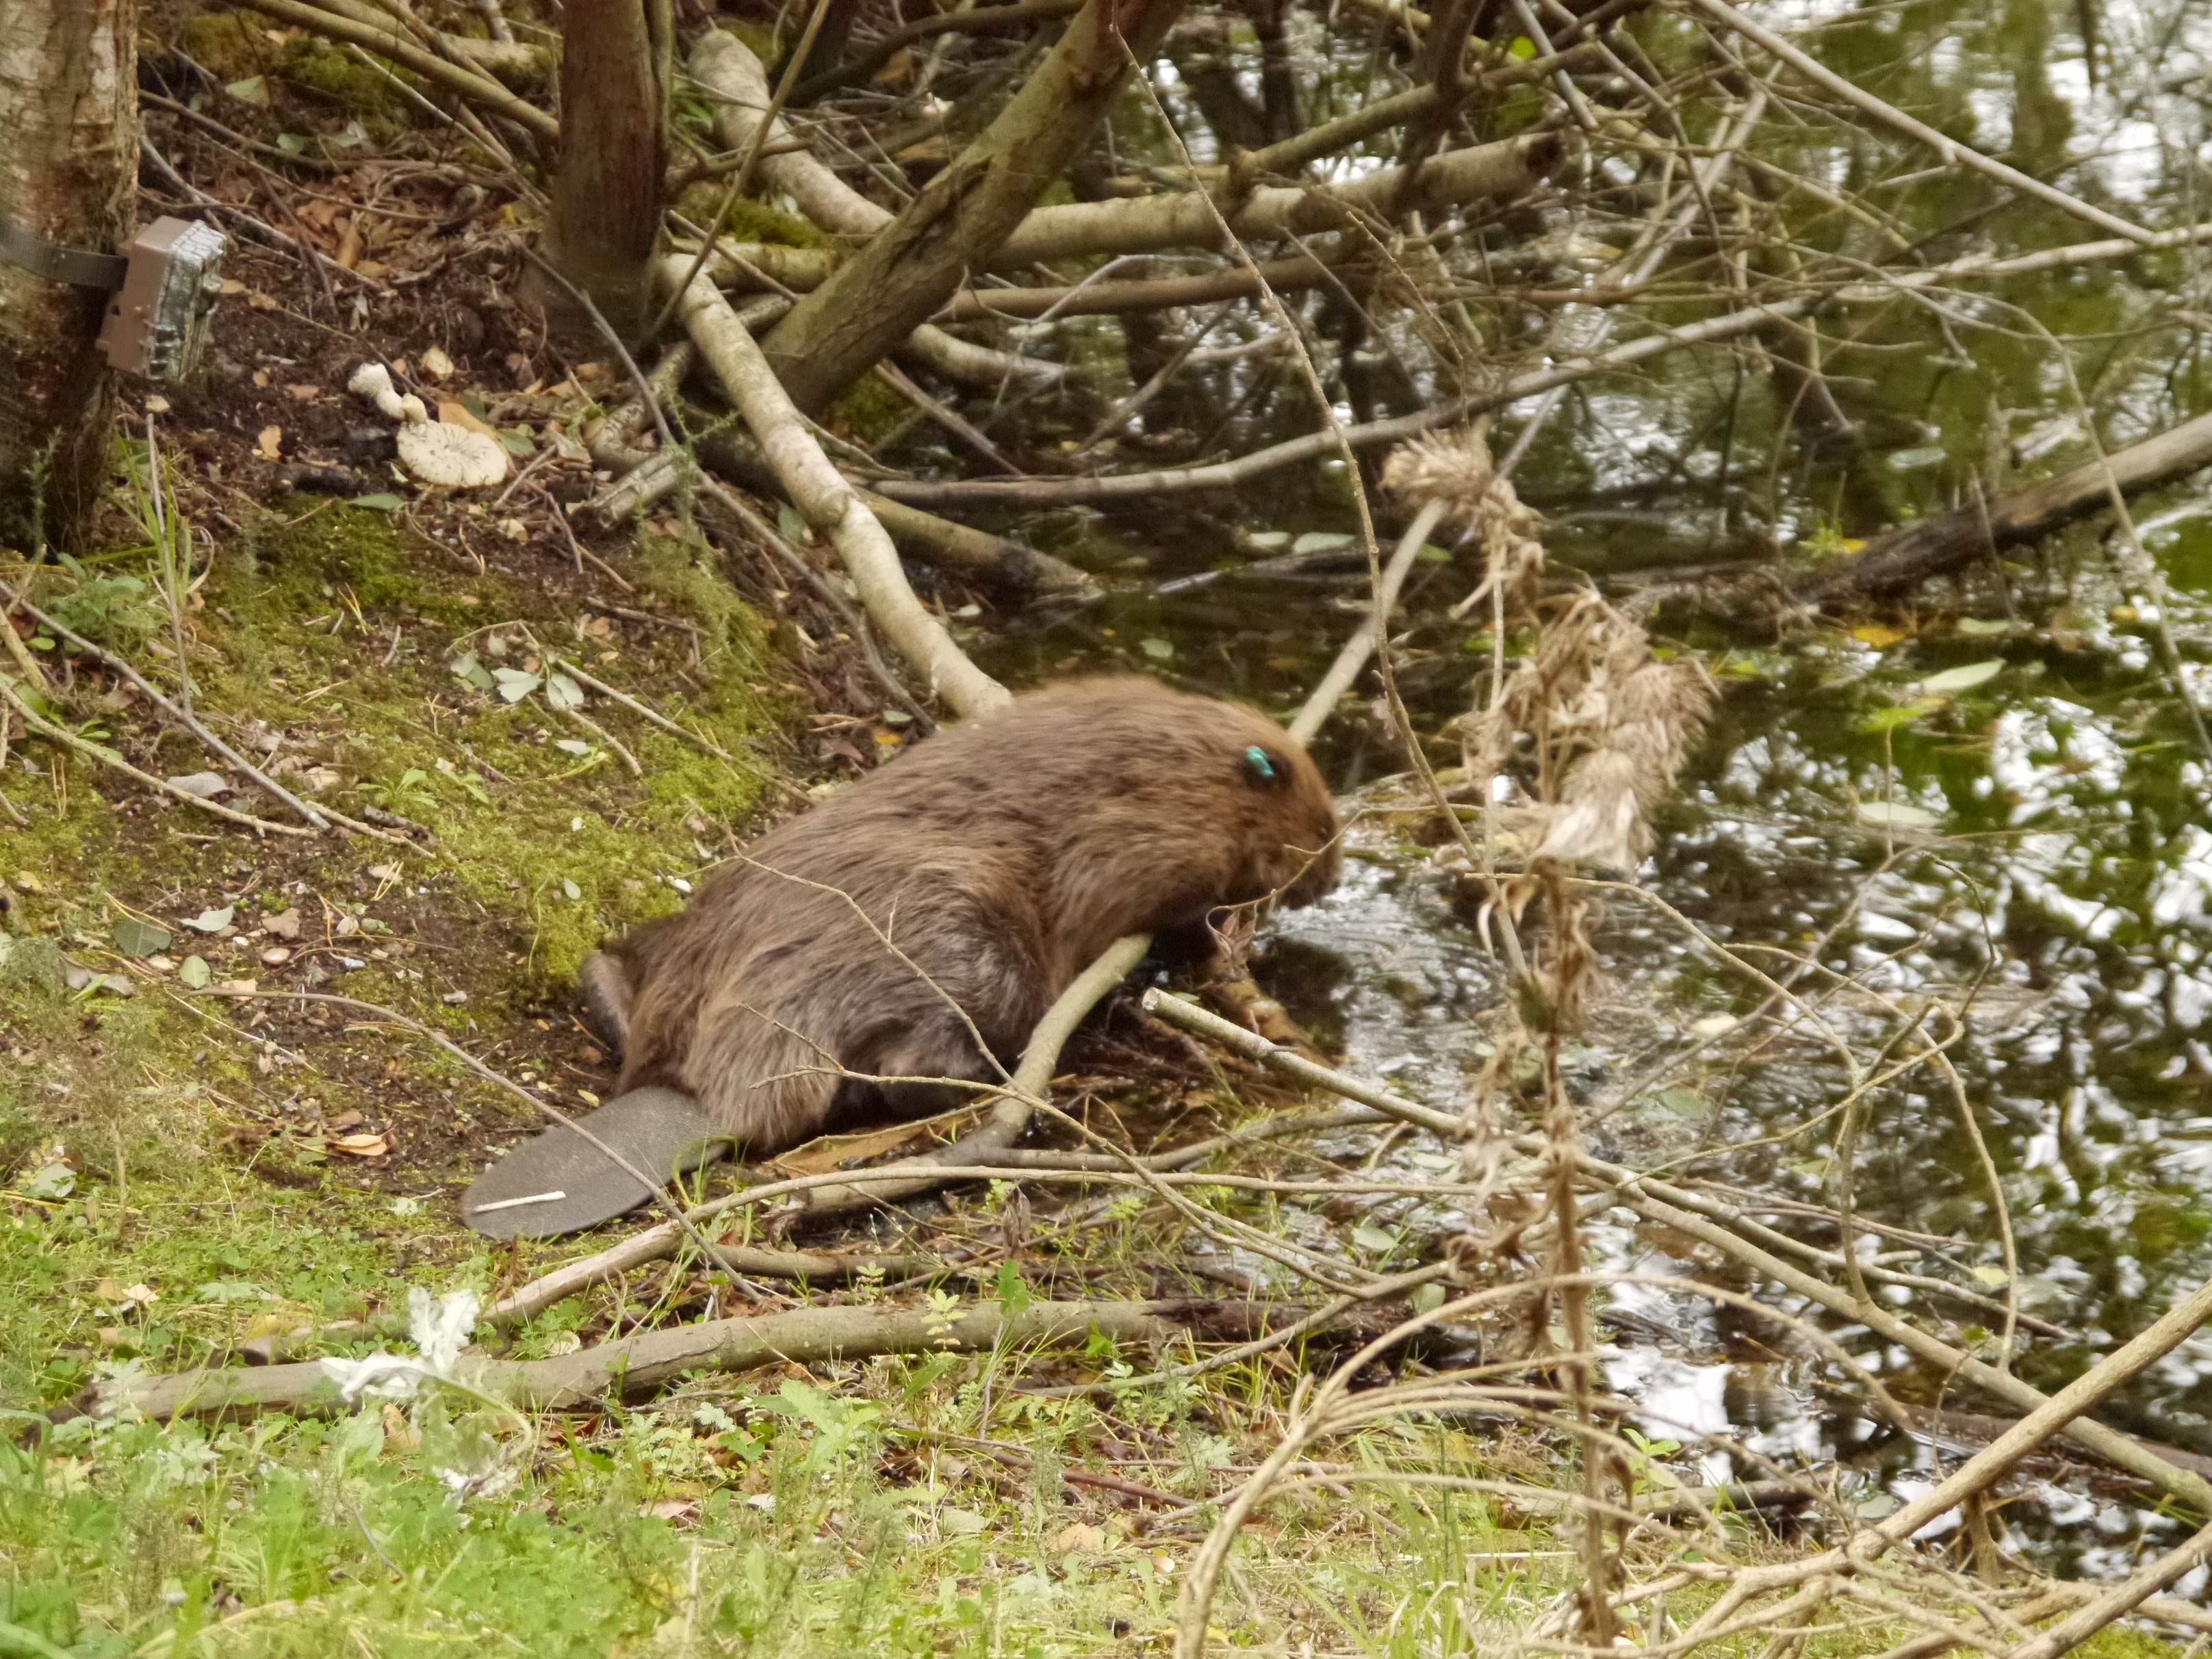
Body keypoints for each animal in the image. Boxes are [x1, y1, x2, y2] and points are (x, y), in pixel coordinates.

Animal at [579, 676, 1336, 1159]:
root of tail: (693, 1098)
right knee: (910, 1065)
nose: (1330, 877)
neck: (1186, 764)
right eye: (1325, 827)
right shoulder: (1146, 839)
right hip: (973, 948)